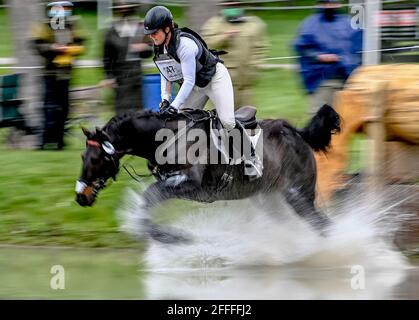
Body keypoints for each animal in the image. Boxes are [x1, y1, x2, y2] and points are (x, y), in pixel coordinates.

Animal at [77, 106, 342, 241]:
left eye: (97, 159)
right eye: (82, 157)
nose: (80, 196)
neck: (166, 138)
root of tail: (298, 133)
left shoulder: (191, 186)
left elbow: (148, 197)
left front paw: (174, 237)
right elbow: (147, 202)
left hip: (298, 195)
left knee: (324, 225)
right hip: (271, 201)